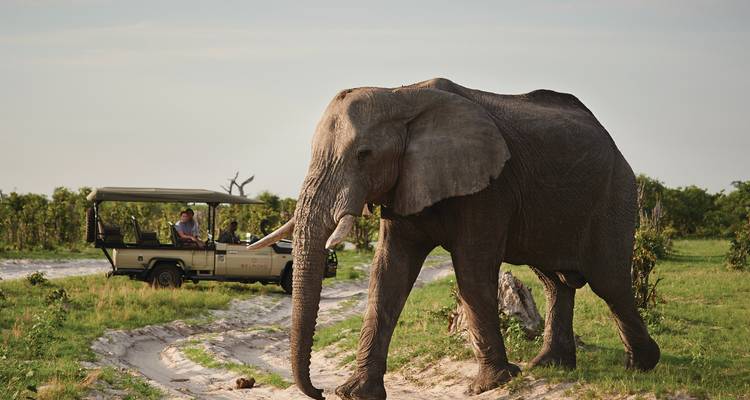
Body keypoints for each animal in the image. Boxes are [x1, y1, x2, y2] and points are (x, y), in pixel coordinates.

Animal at [249, 78, 660, 400]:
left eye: (364, 154)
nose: (318, 391)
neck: (401, 96)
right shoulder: (405, 182)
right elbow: (388, 271)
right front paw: (355, 393)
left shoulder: (489, 187)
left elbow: (473, 270)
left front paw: (492, 385)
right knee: (555, 281)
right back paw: (548, 366)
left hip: (616, 193)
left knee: (609, 281)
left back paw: (641, 366)